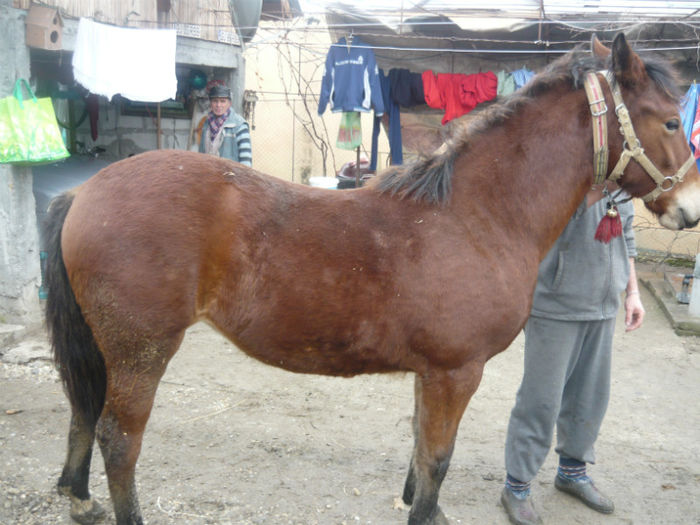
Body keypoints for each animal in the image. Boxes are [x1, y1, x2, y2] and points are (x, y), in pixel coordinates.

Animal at [42, 33, 700, 524]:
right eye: (672, 122)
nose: (690, 208)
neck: (476, 214)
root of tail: (84, 193)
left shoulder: (432, 374)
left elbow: (420, 452)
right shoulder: (455, 372)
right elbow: (437, 458)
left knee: (82, 411)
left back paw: (80, 499)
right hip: (142, 350)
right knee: (118, 439)